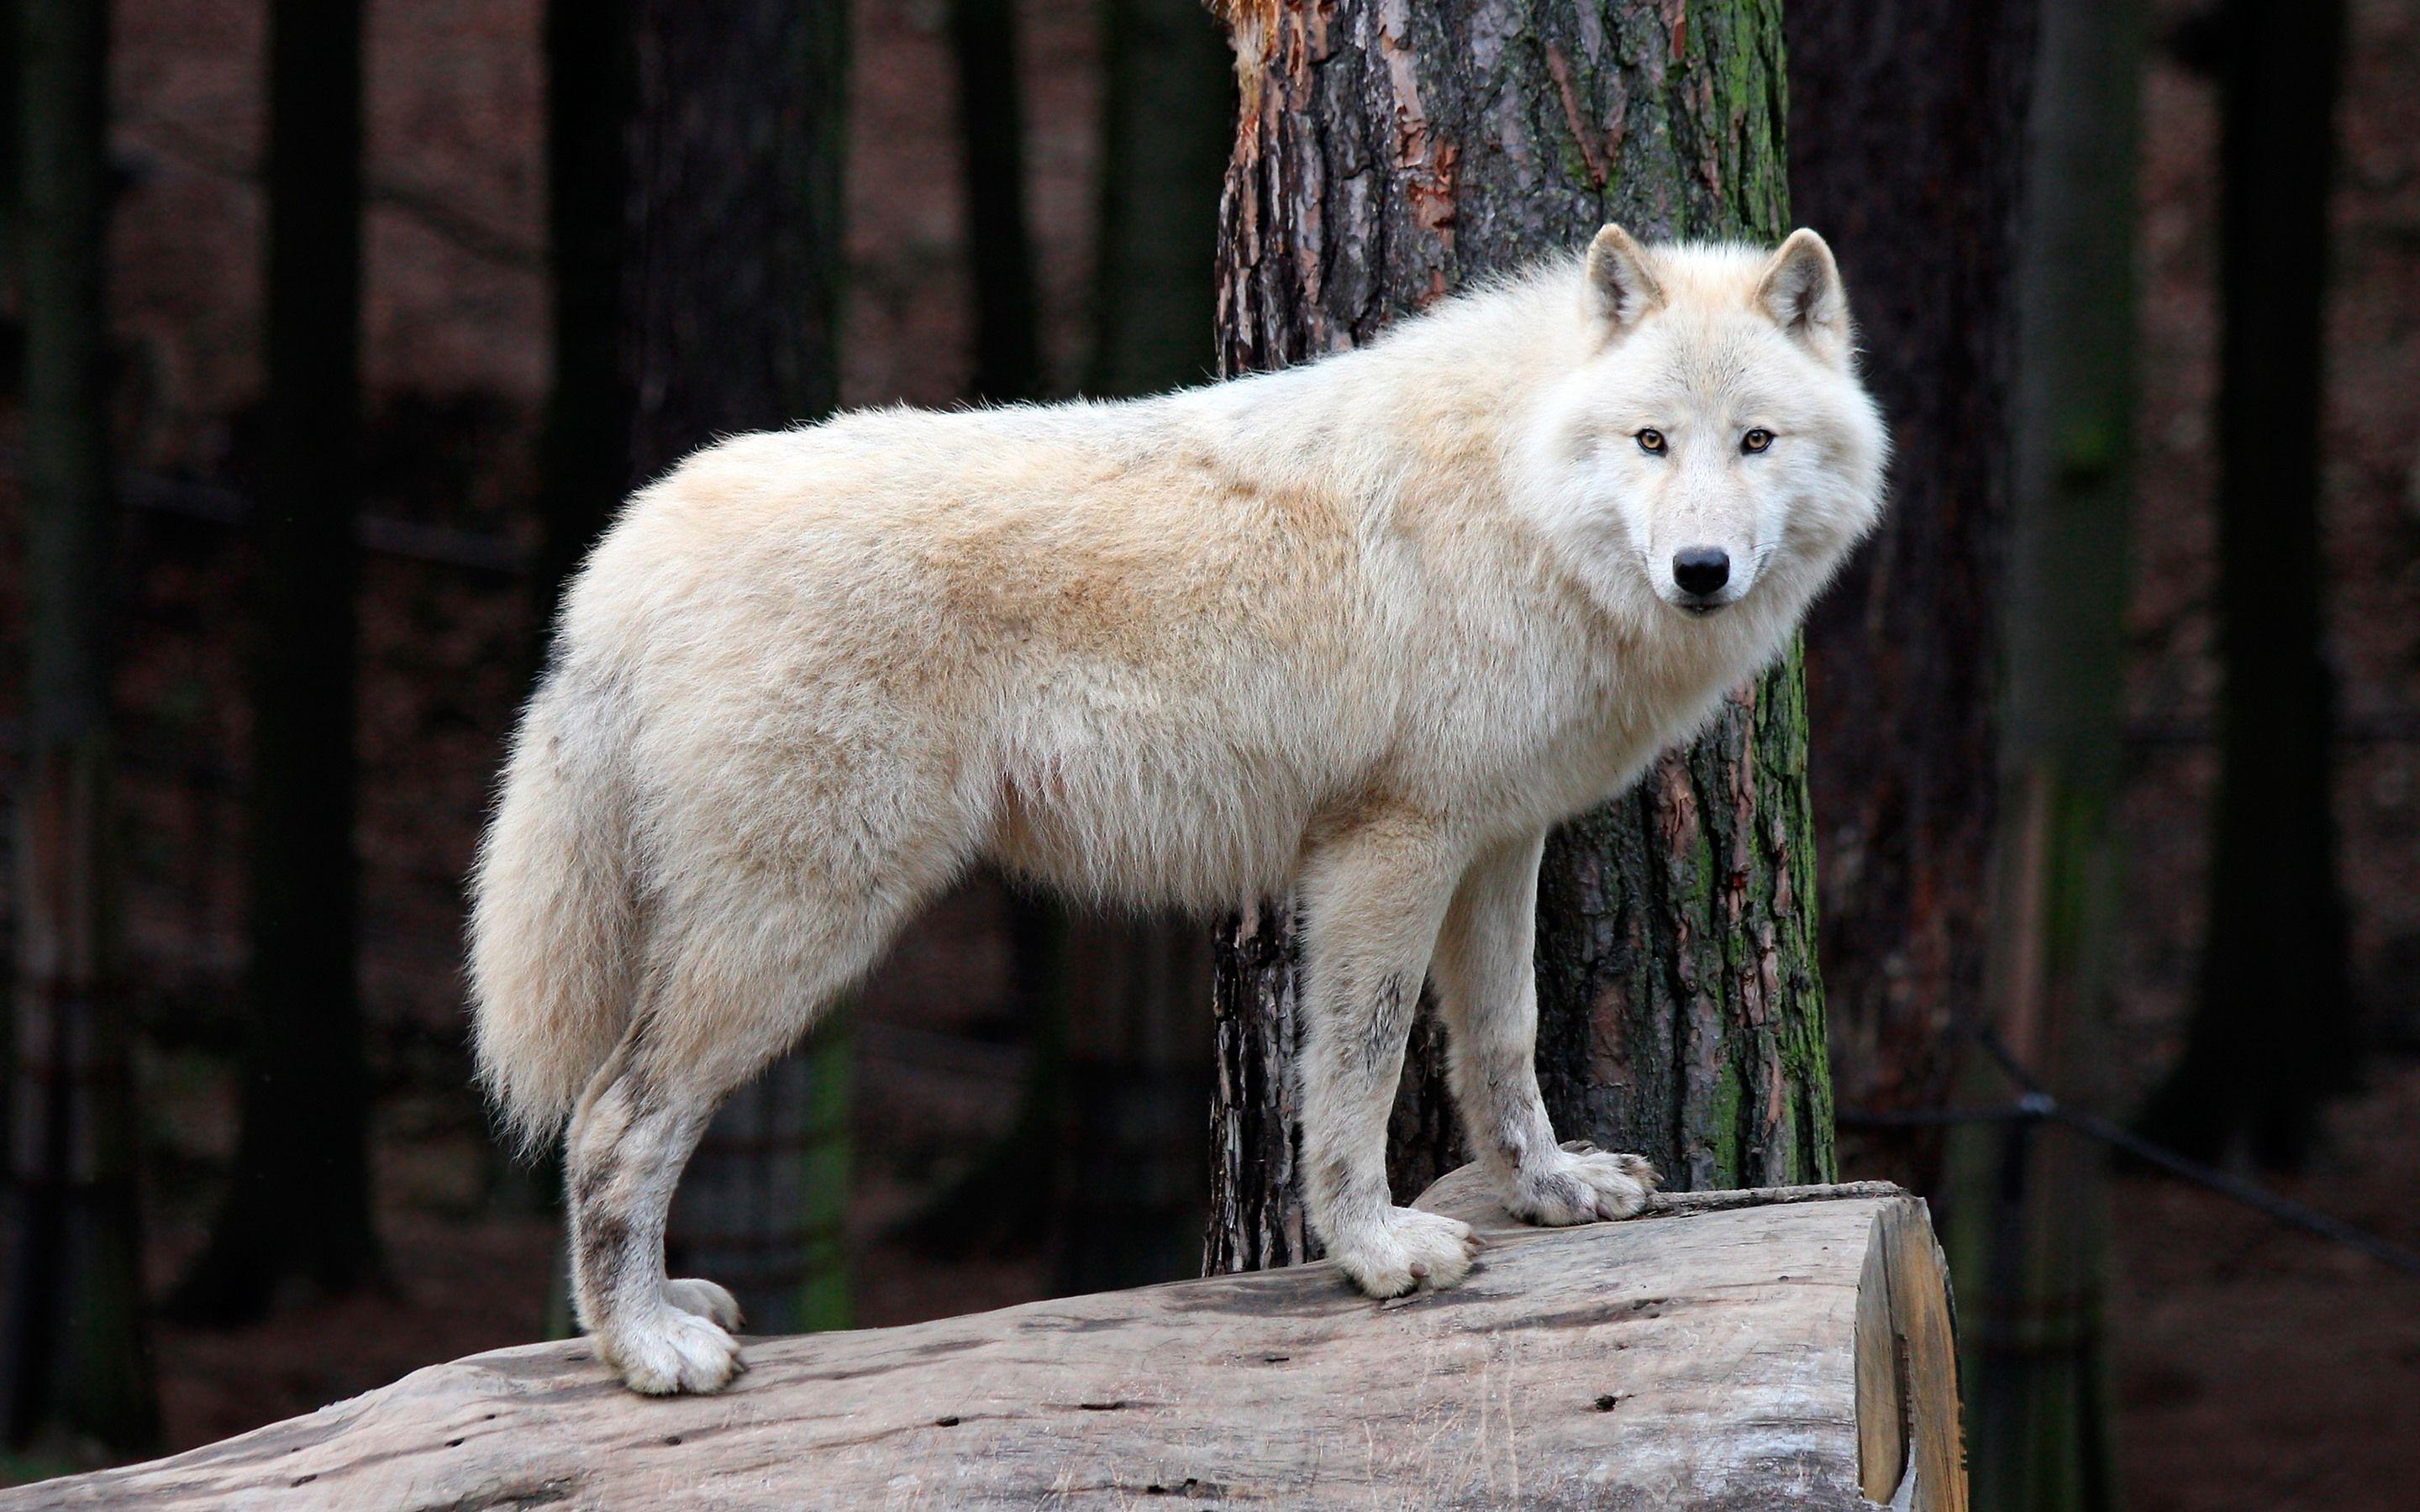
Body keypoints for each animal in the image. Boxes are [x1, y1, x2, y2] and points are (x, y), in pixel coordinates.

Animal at [469, 225, 1887, 1394]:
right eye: (1652, 443)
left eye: (1755, 441)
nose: (1700, 569)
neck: (1516, 490)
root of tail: (624, 556)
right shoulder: (1389, 849)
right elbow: (1361, 1071)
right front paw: (1376, 1251)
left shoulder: (1495, 841)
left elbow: (1503, 1042)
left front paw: (1549, 1189)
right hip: (797, 933)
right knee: (611, 1123)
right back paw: (648, 1348)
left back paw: (657, 1315)